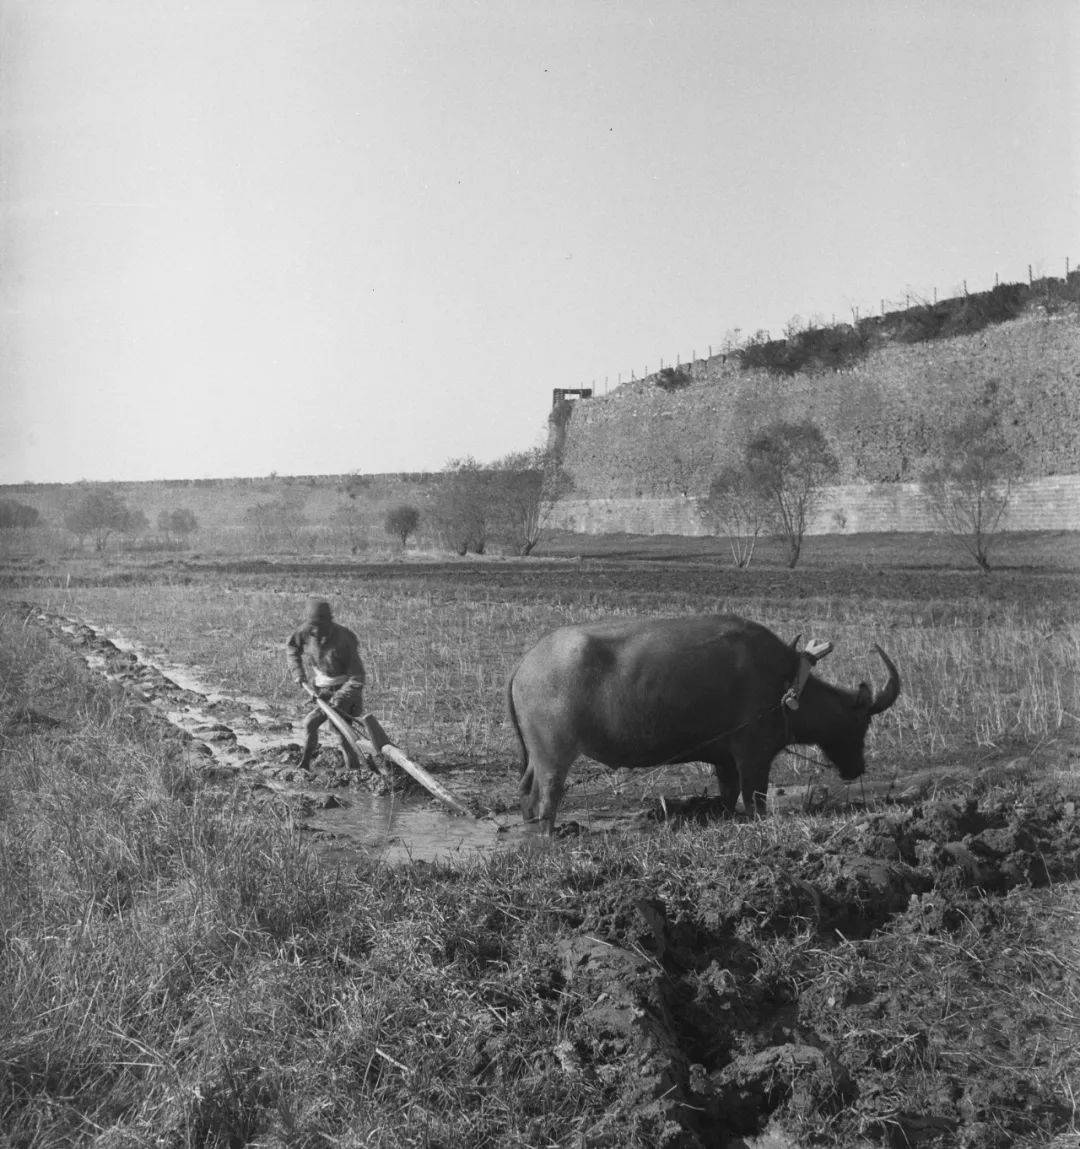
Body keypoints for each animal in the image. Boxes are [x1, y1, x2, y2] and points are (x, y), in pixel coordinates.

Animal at [510, 615, 900, 831]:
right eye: (859, 723)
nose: (857, 768)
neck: (786, 687)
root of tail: (524, 665)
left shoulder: (725, 761)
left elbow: (728, 795)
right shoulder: (753, 756)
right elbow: (754, 797)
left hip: (535, 756)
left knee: (527, 792)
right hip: (554, 756)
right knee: (546, 798)